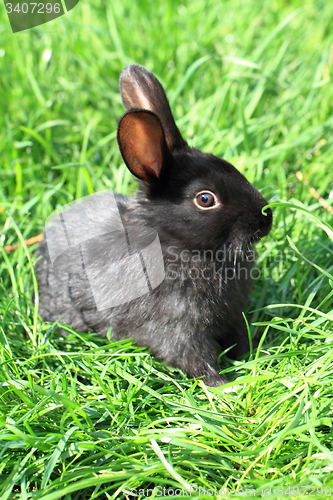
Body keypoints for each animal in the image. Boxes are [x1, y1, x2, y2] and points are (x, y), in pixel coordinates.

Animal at [35, 65, 272, 386]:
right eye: (205, 199)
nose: (266, 218)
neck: (174, 244)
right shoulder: (176, 329)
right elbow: (195, 359)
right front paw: (224, 386)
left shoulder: (233, 316)